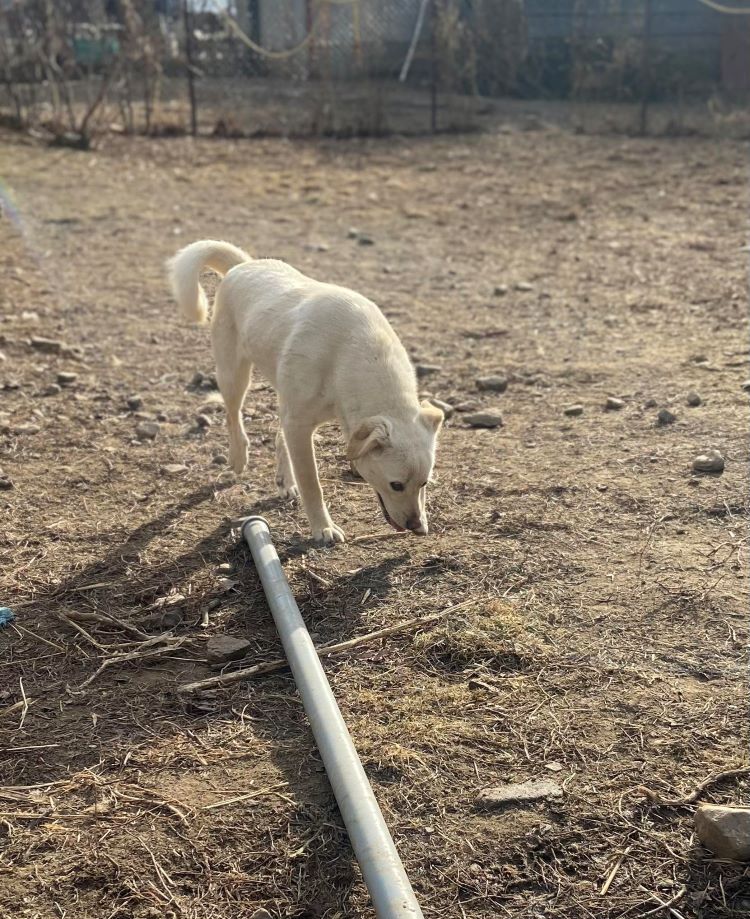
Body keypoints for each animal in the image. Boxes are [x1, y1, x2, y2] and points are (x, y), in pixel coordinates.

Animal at [167, 244, 444, 548]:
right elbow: (312, 483)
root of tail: (243, 265)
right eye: (396, 484)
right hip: (234, 374)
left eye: (424, 483)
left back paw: (285, 482)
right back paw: (239, 457)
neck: (350, 352)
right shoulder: (300, 426)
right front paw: (323, 529)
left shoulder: (301, 420)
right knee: (233, 416)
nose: (418, 528)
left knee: (278, 434)